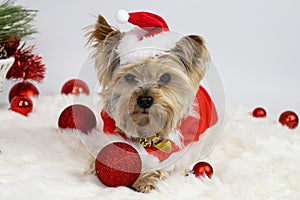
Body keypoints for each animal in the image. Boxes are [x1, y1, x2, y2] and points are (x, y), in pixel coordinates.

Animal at [85, 10, 217, 193]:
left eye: (166, 77)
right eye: (129, 77)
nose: (145, 100)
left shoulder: (175, 151)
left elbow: (163, 166)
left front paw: (146, 179)